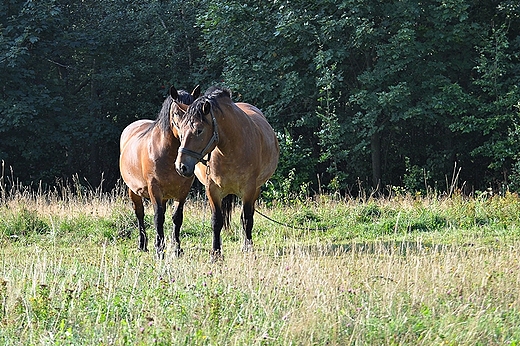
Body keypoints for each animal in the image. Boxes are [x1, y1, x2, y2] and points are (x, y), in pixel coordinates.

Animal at [119, 85, 200, 258]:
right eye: (176, 113)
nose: (187, 135)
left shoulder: (183, 191)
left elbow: (177, 218)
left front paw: (177, 249)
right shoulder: (154, 188)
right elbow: (158, 218)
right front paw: (159, 250)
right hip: (133, 191)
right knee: (140, 214)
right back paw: (142, 245)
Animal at [172, 87, 278, 256]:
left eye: (199, 130)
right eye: (180, 129)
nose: (181, 166)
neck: (231, 149)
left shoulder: (249, 190)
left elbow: (247, 219)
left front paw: (247, 248)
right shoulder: (212, 190)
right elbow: (216, 221)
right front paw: (216, 253)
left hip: (256, 190)